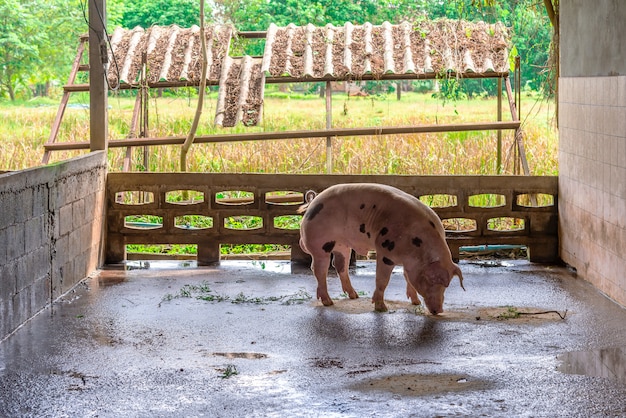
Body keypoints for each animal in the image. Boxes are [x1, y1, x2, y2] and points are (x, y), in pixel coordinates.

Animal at [294, 181, 460, 316]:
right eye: (432, 280)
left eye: (447, 284)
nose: (439, 310)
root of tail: (312, 203)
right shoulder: (385, 252)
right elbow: (382, 279)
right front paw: (381, 308)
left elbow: (407, 277)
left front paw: (416, 302)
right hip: (321, 245)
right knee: (319, 270)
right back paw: (328, 302)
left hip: (342, 245)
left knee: (339, 265)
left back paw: (354, 296)